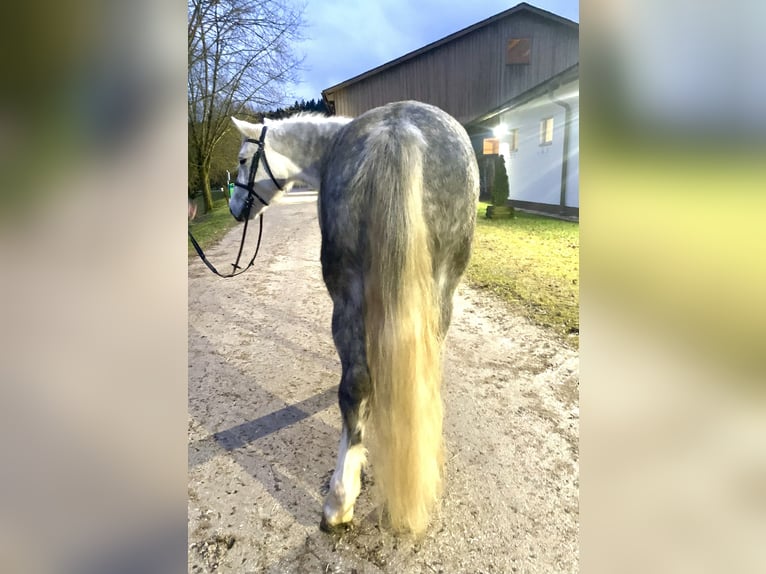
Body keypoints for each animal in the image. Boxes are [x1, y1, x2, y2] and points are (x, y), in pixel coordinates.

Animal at [230, 101, 479, 535]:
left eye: (244, 160)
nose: (232, 209)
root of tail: (398, 131)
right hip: (441, 288)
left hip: (346, 290)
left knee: (354, 384)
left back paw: (339, 501)